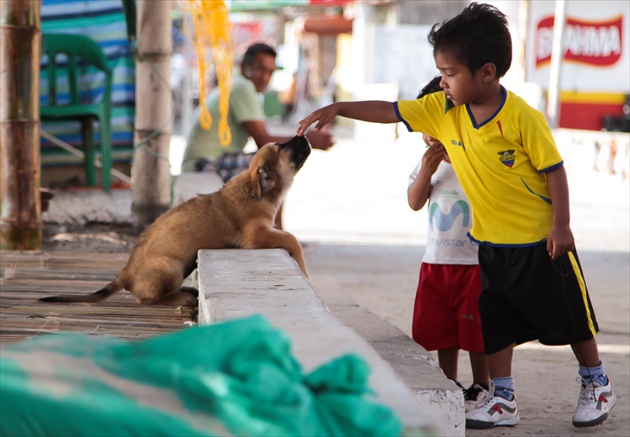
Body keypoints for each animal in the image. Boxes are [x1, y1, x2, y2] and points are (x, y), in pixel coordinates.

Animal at [40, 136, 312, 306]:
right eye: (281, 146)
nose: (305, 136)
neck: (257, 190)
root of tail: (126, 273)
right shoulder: (255, 236)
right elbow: (292, 239)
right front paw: (304, 268)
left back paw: (186, 291)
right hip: (171, 267)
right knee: (148, 298)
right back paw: (180, 297)